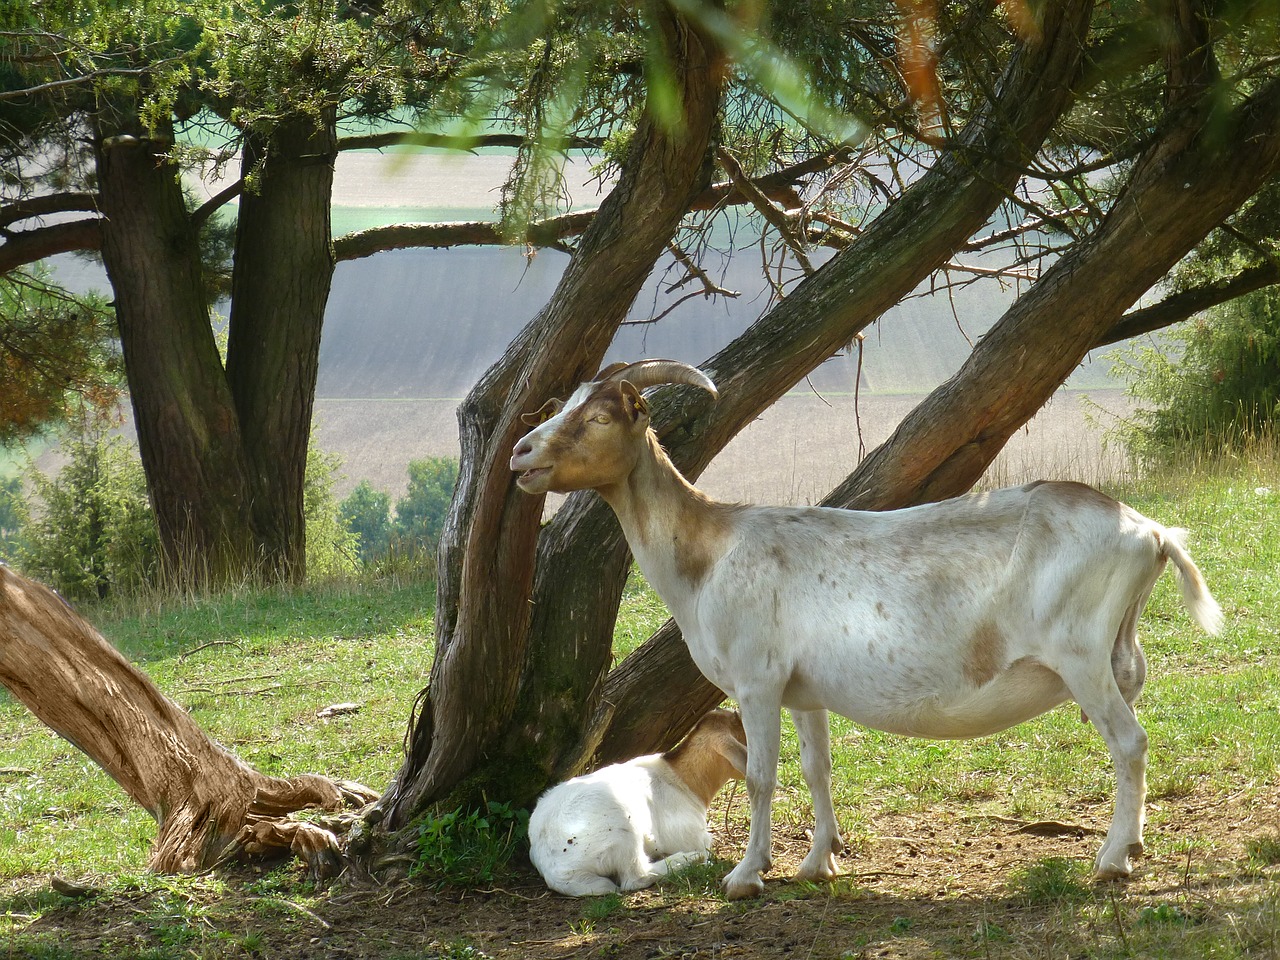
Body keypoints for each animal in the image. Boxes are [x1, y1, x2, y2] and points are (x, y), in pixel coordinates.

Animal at [527, 711, 747, 901]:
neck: (681, 778)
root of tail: (556, 869)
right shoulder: (692, 836)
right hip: (621, 829)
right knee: (634, 878)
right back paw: (688, 859)